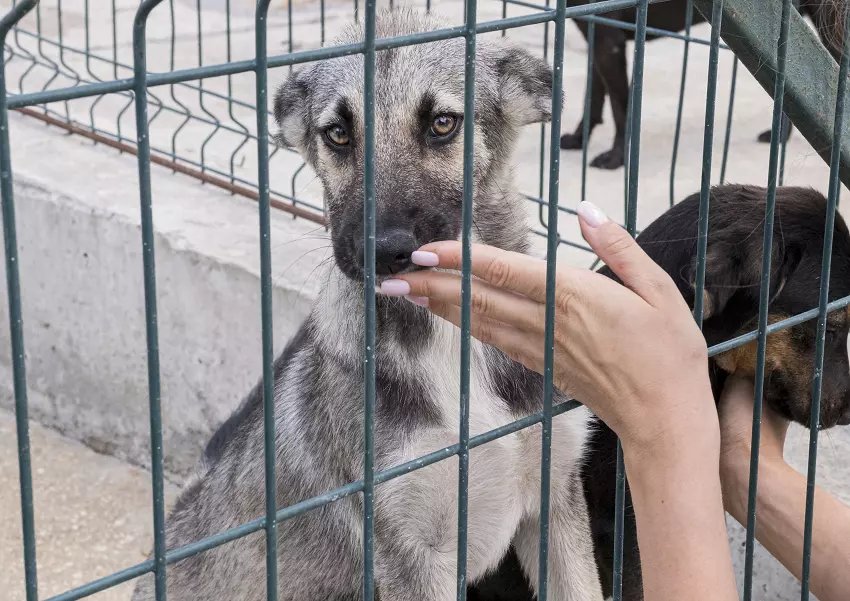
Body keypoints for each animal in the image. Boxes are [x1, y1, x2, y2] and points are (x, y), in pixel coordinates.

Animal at [131, 9, 604, 600]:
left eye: (442, 123)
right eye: (337, 133)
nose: (381, 252)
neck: (451, 339)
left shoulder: (555, 500)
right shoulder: (408, 556)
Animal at [560, 1, 844, 169]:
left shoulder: (609, 41)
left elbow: (620, 107)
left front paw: (616, 157)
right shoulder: (597, 36)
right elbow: (593, 97)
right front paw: (579, 138)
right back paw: (780, 137)